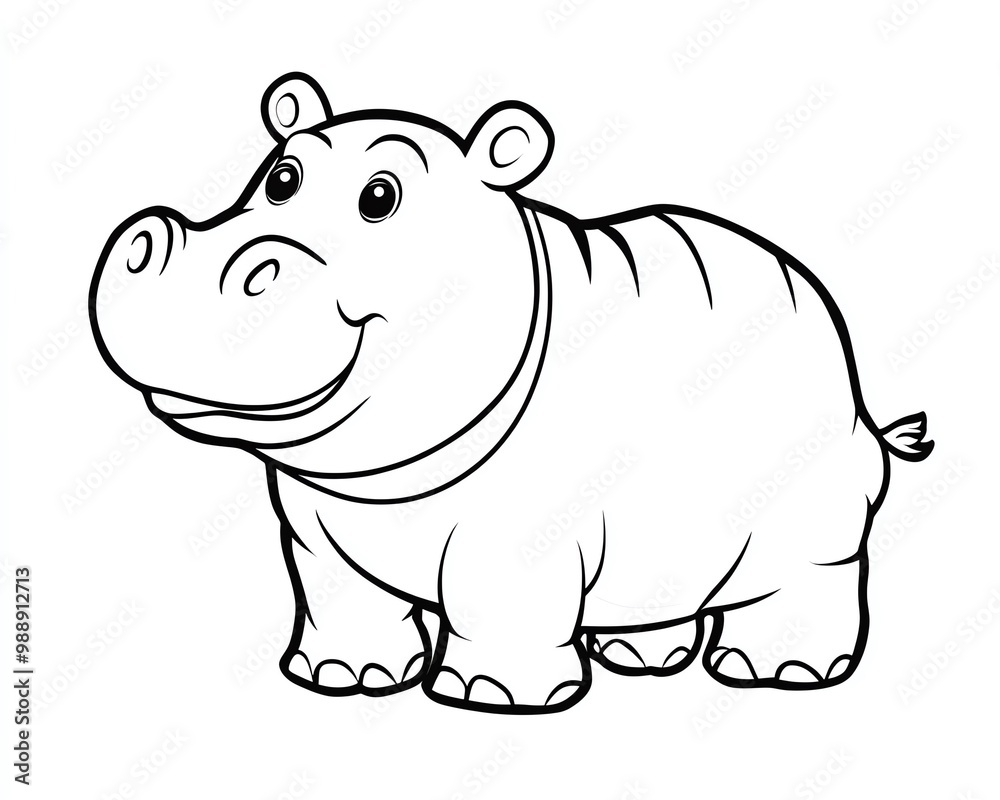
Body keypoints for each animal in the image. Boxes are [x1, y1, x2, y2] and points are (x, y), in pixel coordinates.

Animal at [90, 72, 933, 714]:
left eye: (380, 197)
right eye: (281, 178)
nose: (146, 237)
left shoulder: (519, 536)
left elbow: (498, 605)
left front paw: (489, 697)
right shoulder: (313, 525)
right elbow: (338, 597)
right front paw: (343, 681)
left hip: (814, 496)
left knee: (811, 571)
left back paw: (780, 674)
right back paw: (639, 657)